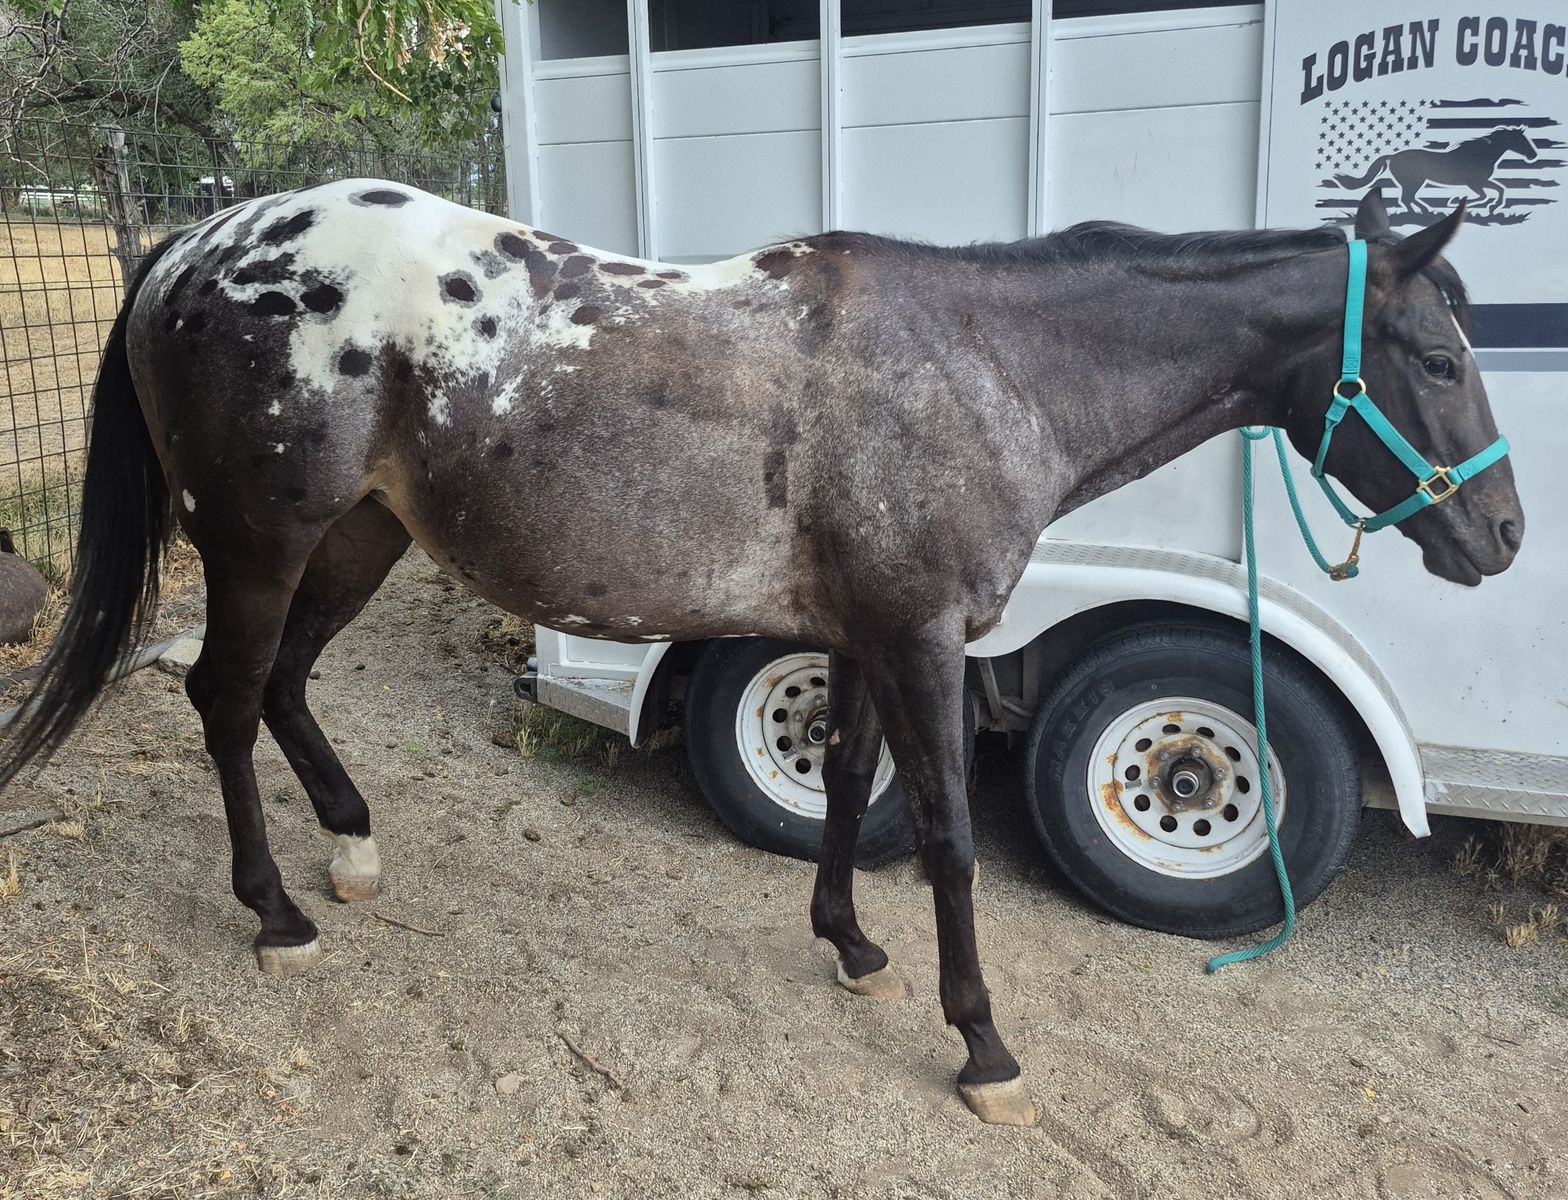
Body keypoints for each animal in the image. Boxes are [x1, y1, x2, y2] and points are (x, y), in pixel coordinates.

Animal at [0, 185, 1522, 1126]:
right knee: (222, 694)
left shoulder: (855, 638)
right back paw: (276, 913)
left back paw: (353, 847)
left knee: (285, 686)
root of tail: (197, 243)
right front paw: (983, 1047)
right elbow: (952, 838)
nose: (1502, 534)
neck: (979, 367)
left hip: (360, 539)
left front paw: (848, 944)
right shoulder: (919, 638)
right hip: (261, 543)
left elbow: (845, 789)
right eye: (1439, 357)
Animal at [1335, 126, 1539, 216]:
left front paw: (1492, 207)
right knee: (1406, 199)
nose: (1533, 155)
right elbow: (1487, 194)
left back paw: (1426, 210)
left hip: (1417, 182)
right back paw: (1421, 213)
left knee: (1408, 199)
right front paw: (1456, 202)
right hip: (1413, 182)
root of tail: (1392, 156)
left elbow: (1500, 189)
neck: (1480, 155)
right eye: (1521, 140)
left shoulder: (1479, 182)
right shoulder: (1475, 183)